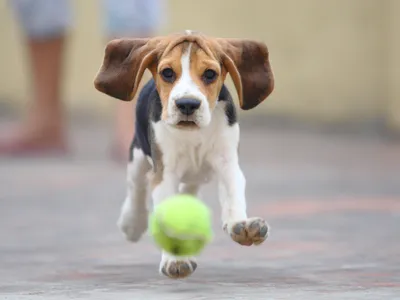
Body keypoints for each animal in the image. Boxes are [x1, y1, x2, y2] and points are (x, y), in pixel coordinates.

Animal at [94, 29, 276, 278]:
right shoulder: (164, 174)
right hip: (138, 155)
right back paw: (132, 222)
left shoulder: (228, 163)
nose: (187, 104)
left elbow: (233, 196)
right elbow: (167, 215)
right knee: (136, 188)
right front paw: (175, 259)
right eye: (167, 73)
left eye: (210, 74)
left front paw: (241, 225)